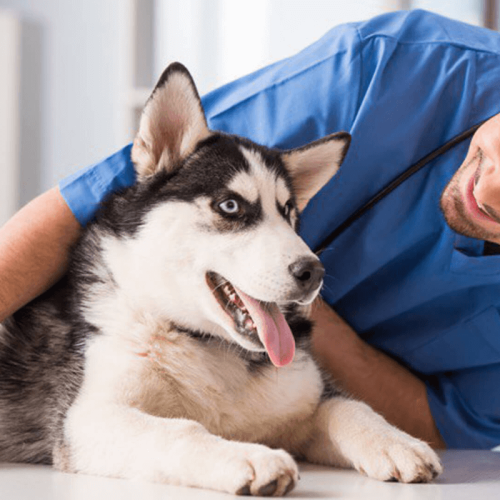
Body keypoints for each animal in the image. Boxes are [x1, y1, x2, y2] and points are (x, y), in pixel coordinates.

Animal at [0, 63, 442, 496]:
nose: (312, 272)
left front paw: (396, 441)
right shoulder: (88, 417)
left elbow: (350, 405)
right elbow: (179, 430)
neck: (208, 344)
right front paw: (249, 457)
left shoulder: (304, 397)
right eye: (230, 206)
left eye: (289, 213)